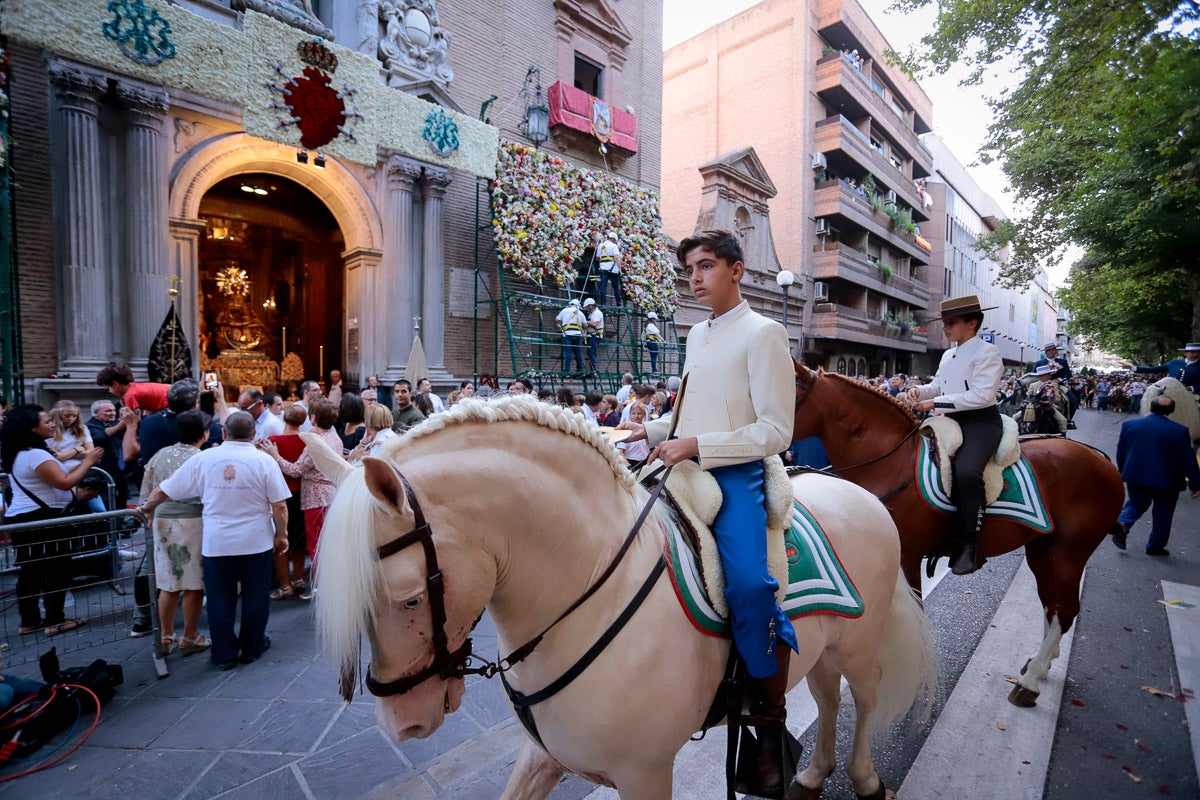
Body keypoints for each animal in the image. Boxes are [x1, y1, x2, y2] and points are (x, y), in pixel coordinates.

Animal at [302, 398, 936, 796]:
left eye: (409, 598)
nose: (401, 726)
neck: (589, 603)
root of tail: (858, 490)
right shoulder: (545, 755)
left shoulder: (646, 774)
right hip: (825, 644)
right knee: (827, 696)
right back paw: (811, 773)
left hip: (860, 644)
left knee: (864, 696)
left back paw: (863, 777)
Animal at [796, 364, 1123, 705]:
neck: (891, 463)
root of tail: (1101, 460)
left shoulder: (907, 557)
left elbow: (916, 614)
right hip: (1043, 548)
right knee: (1051, 603)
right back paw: (1039, 664)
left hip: (1071, 551)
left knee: (1065, 609)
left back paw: (1029, 683)